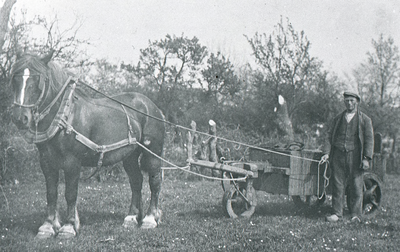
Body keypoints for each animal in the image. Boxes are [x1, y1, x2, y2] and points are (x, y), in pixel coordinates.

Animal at [10, 51, 165, 238]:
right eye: (15, 79)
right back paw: (132, 217)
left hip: (153, 151)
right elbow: (51, 193)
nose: (20, 118)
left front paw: (69, 227)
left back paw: (150, 219)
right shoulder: (46, 162)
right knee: (136, 181)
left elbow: (70, 193)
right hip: (130, 155)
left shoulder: (72, 162)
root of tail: (153, 107)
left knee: (154, 181)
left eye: (38, 81)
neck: (65, 115)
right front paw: (47, 226)